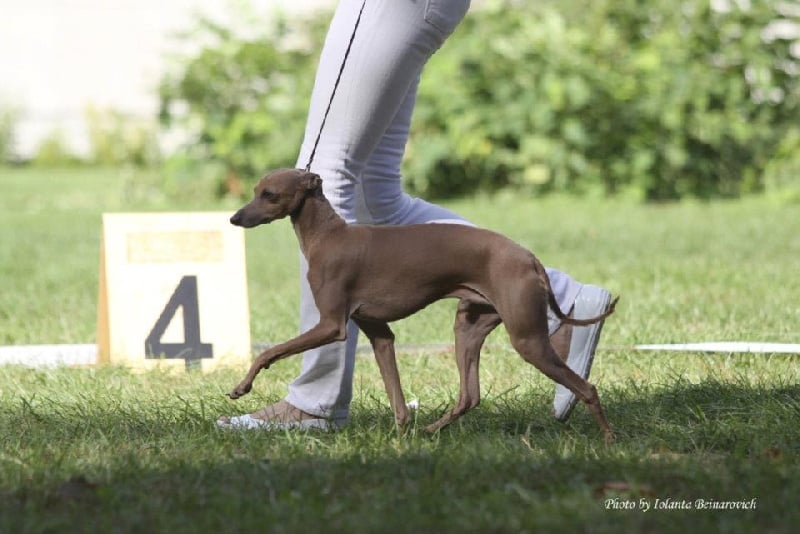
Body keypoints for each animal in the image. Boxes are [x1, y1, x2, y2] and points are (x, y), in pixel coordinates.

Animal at [228, 169, 616, 444]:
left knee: (587, 388)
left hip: (527, 340)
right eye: (254, 190)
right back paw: (431, 430)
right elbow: (397, 398)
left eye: (270, 194)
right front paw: (402, 437)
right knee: (469, 396)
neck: (329, 236)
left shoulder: (331, 325)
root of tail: (529, 258)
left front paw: (241, 387)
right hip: (468, 327)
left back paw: (609, 439)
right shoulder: (380, 334)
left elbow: (269, 352)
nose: (234, 219)